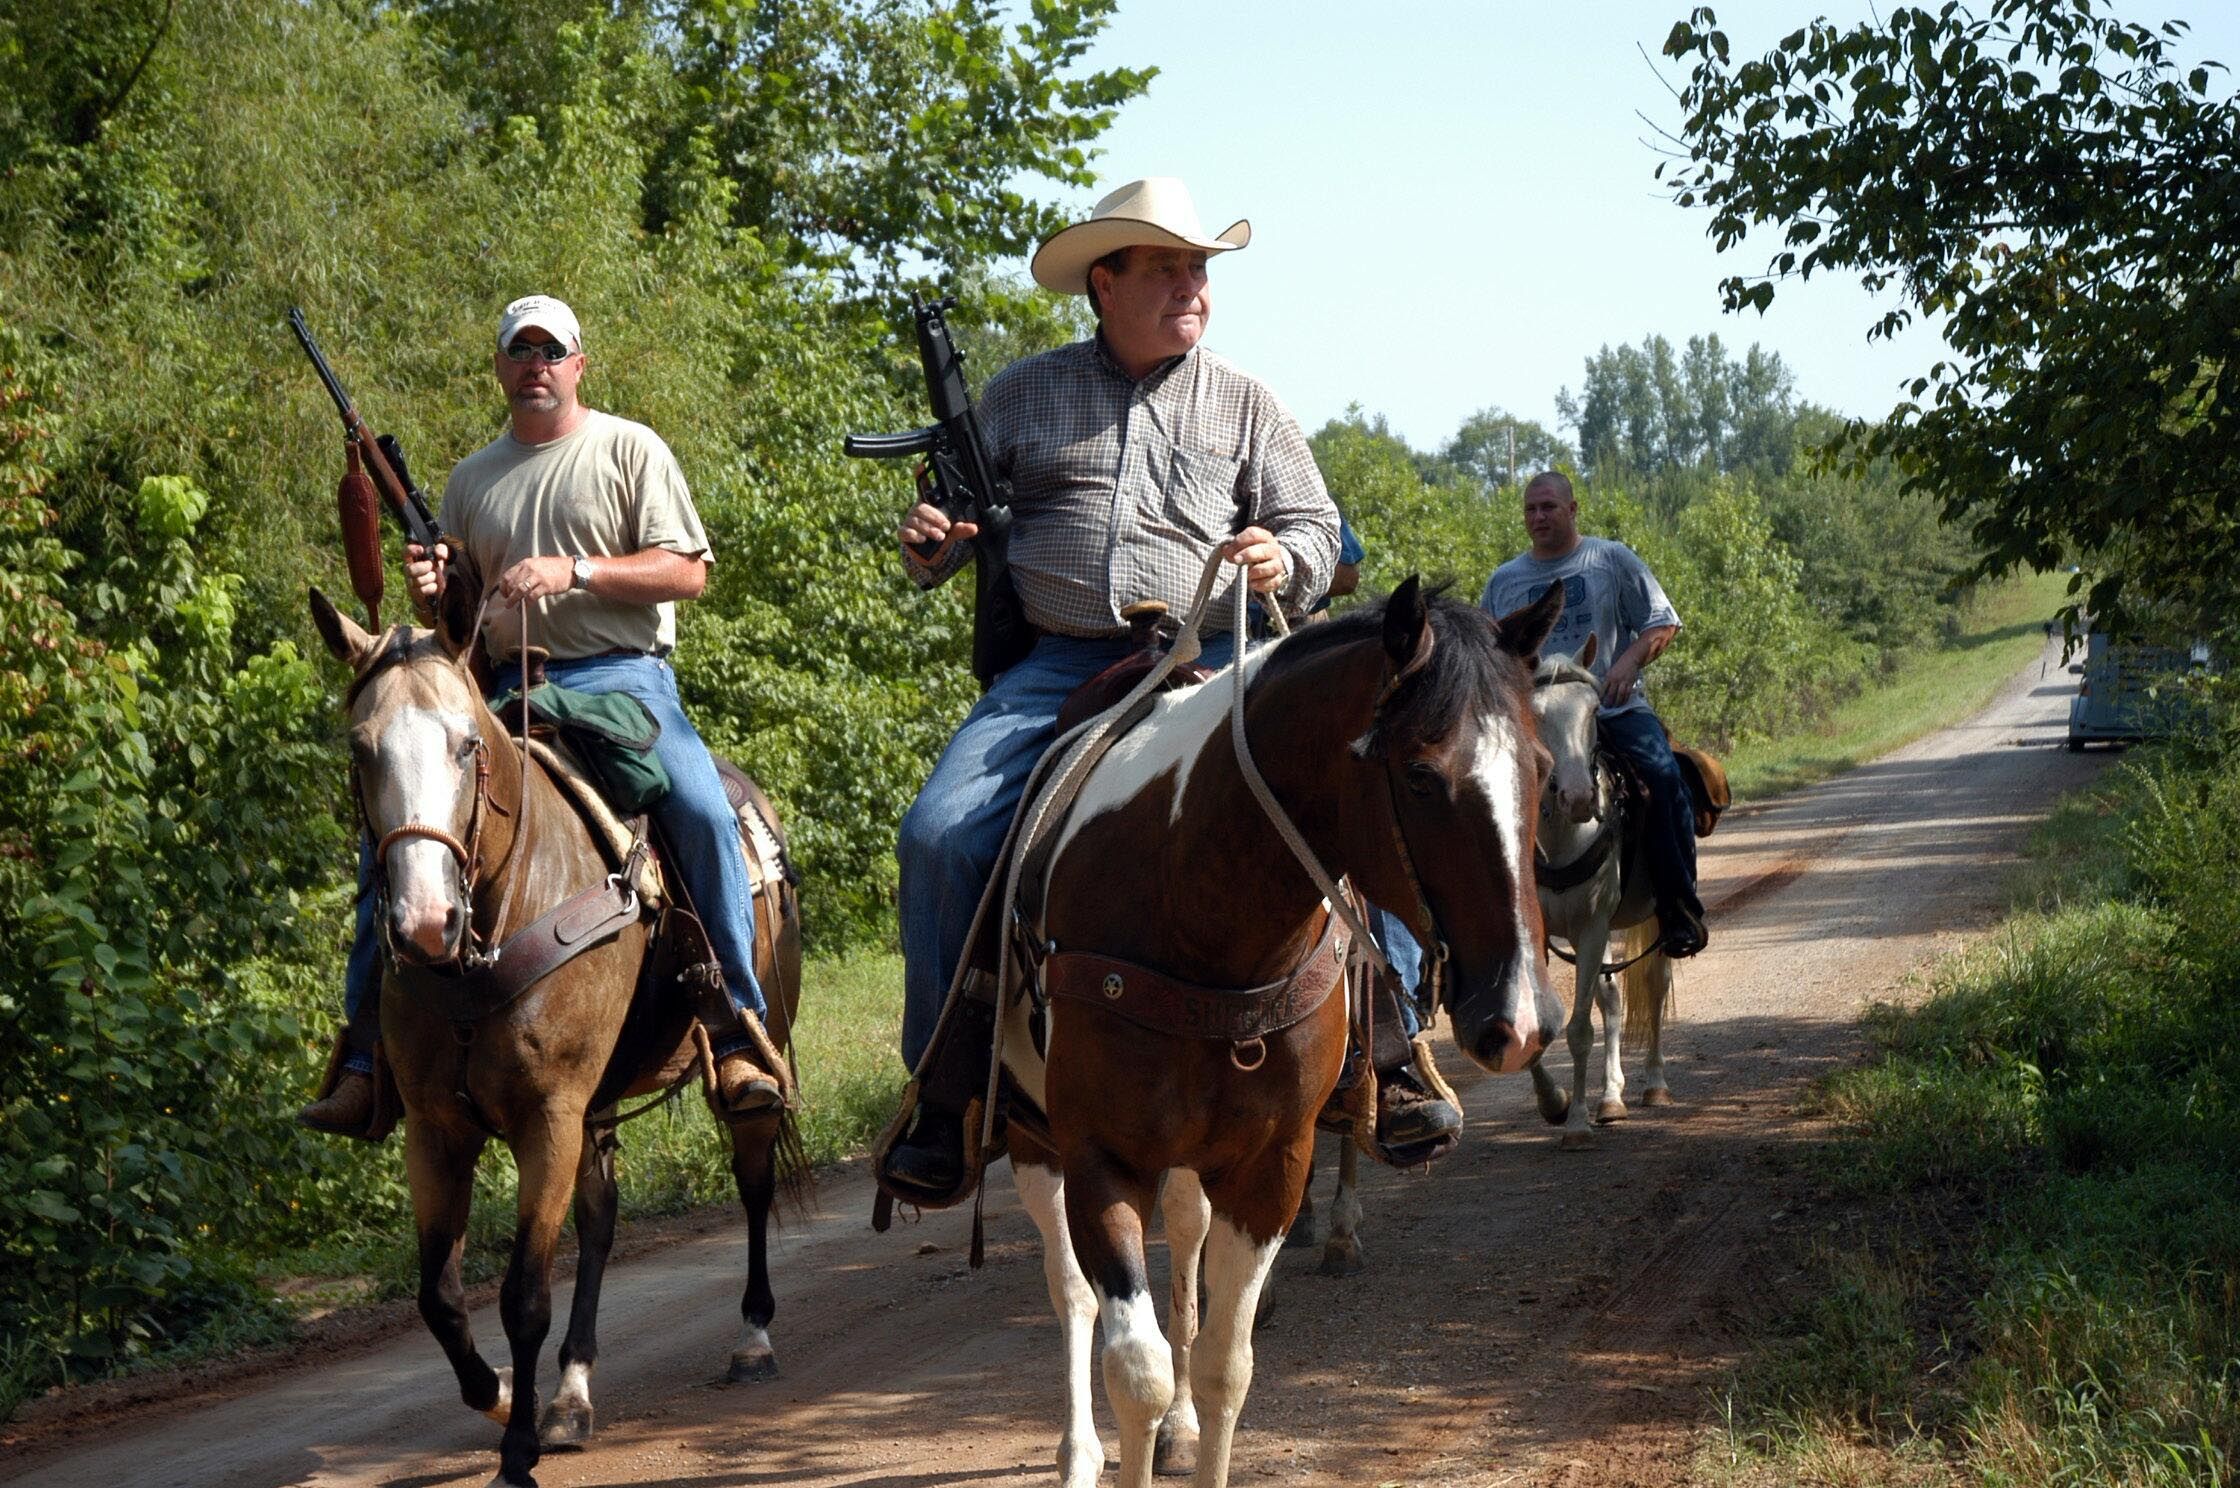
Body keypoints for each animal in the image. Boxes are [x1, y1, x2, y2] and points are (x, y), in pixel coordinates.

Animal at [306, 578, 806, 1488]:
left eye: (468, 744)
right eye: (361, 750)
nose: (422, 923)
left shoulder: (548, 1119)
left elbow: (523, 1294)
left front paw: (515, 1453)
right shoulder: (439, 1130)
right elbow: (440, 1295)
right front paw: (504, 1395)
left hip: (754, 1048)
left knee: (752, 1175)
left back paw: (753, 1338)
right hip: (594, 1106)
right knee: (601, 1219)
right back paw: (572, 1392)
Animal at [990, 573, 1568, 1479]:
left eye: (1541, 769)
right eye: (1420, 777)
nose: (1521, 1018)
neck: (1197, 913)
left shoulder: (1270, 1168)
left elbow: (1225, 1366)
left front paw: (1195, 1422)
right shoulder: (1098, 1159)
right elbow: (1135, 1371)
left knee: (1183, 1251)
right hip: (1031, 1138)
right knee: (1071, 1288)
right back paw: (1079, 1453)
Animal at [1532, 640, 1675, 1147]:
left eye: (1595, 710)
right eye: (1534, 714)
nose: (1578, 798)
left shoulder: (1592, 927)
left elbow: (1578, 1031)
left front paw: (1575, 1123)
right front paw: (1553, 1102)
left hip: (1652, 919)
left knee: (1654, 986)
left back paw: (1654, 1083)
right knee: (1612, 999)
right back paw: (1612, 1096)